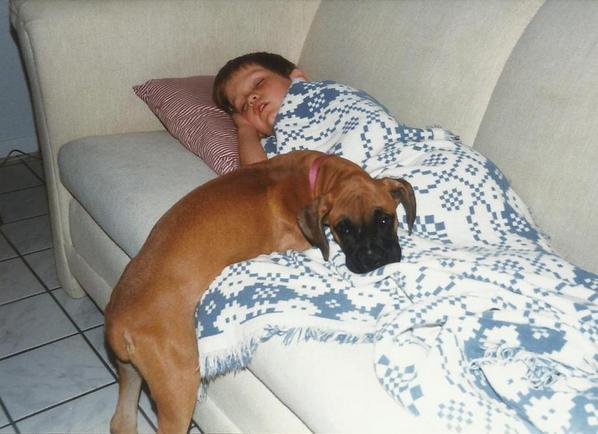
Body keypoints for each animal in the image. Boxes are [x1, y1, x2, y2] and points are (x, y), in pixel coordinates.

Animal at [105, 150, 416, 433]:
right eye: (344, 228)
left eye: (385, 219)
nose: (373, 258)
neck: (315, 178)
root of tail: (118, 324)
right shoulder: (296, 239)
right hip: (178, 384)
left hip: (131, 372)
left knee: (121, 422)